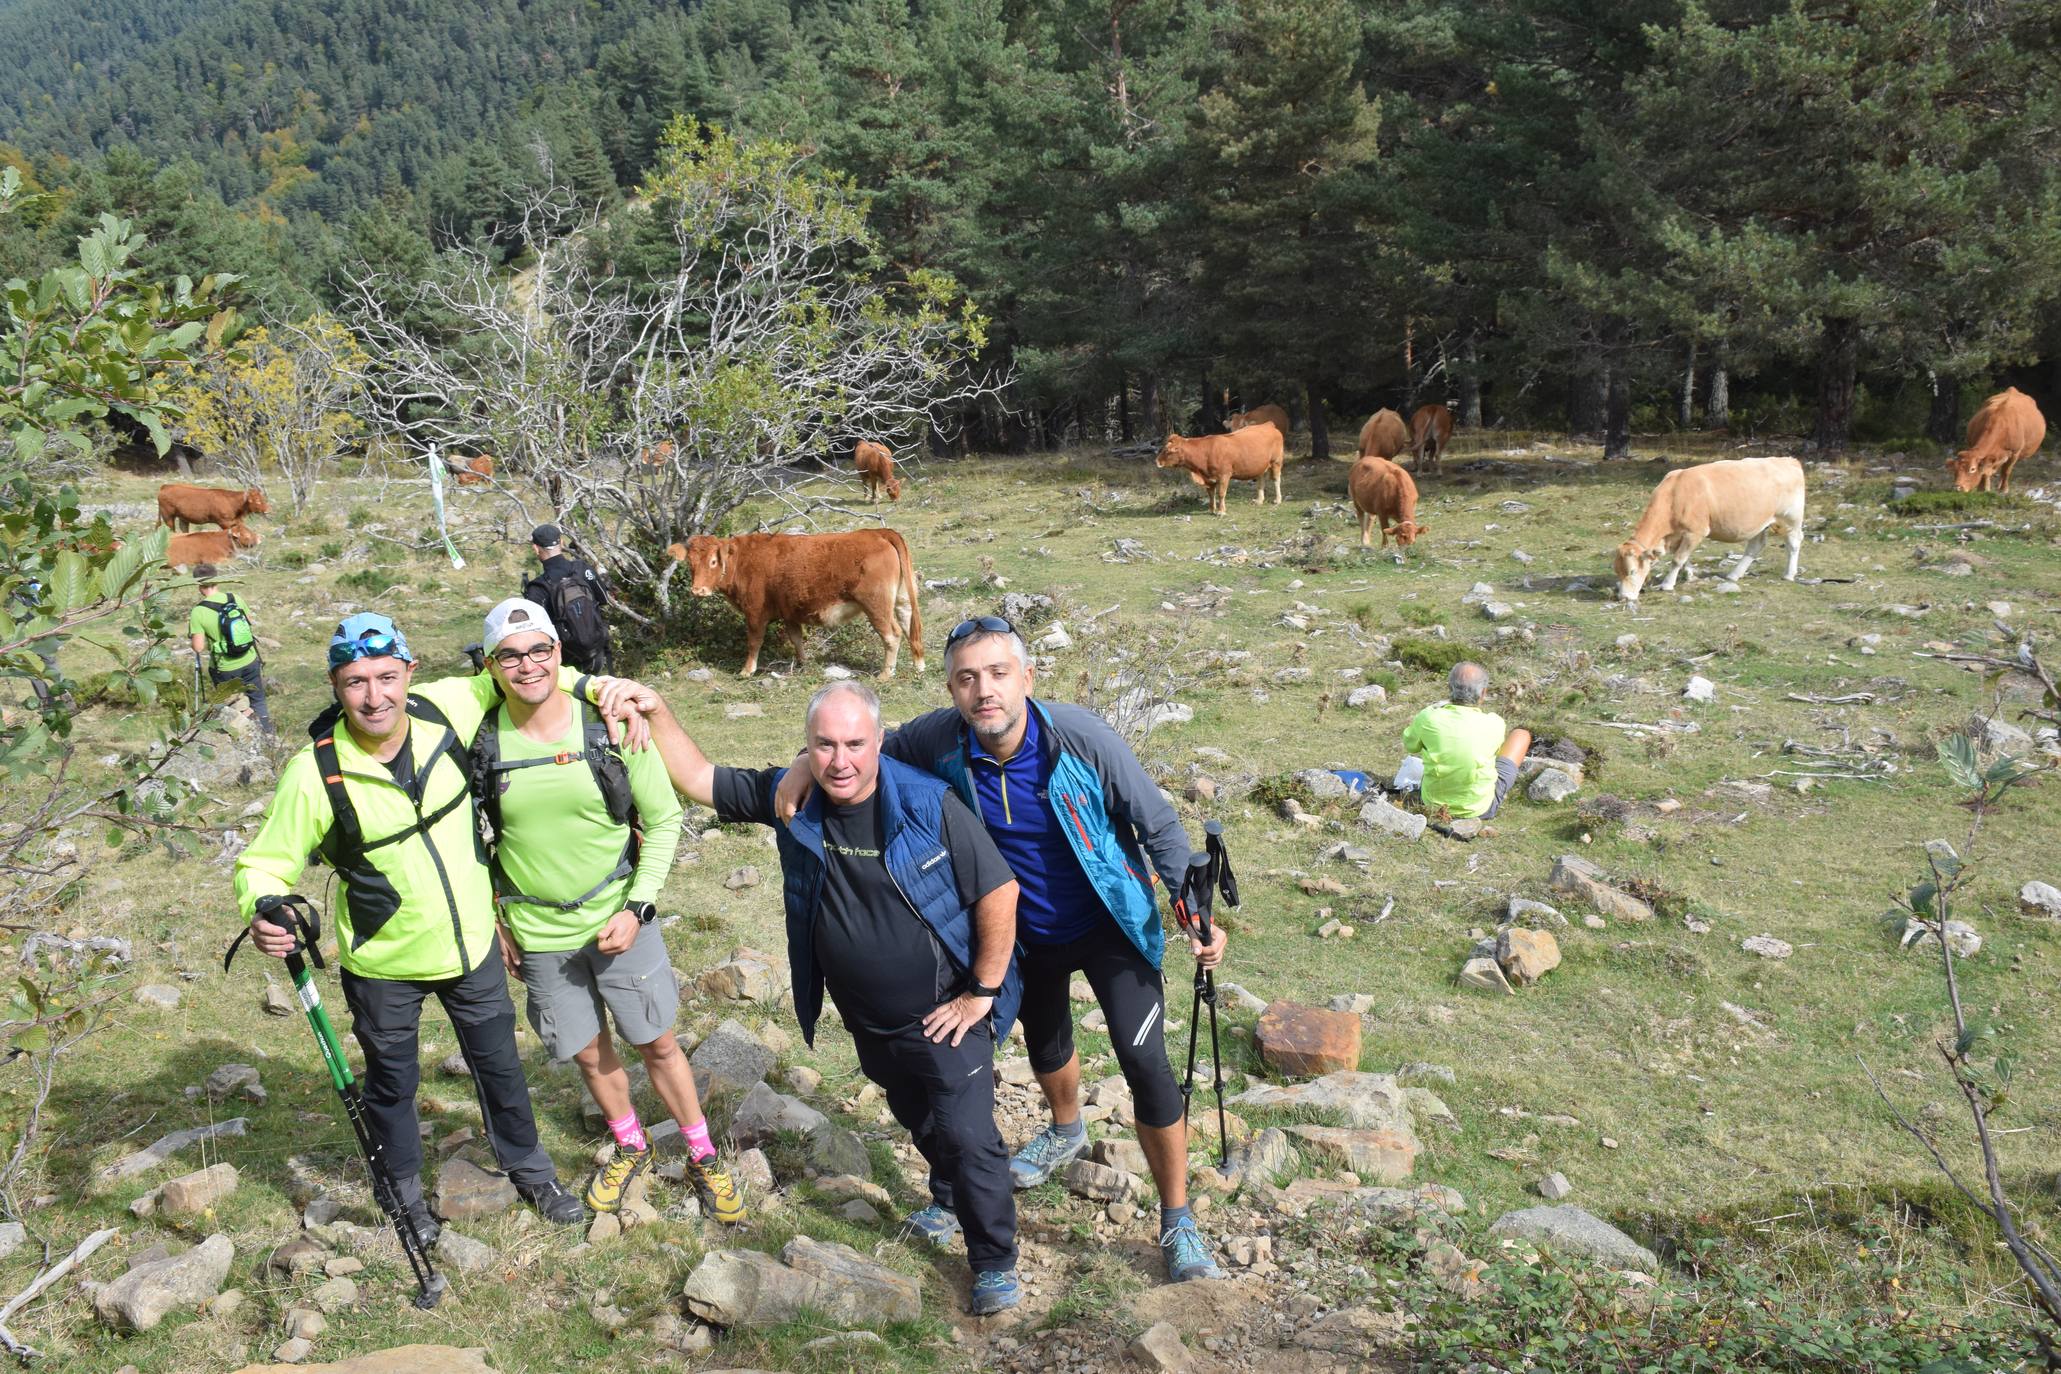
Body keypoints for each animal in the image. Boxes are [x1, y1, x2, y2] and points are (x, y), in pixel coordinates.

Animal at [671, 531, 923, 679]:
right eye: (690, 563)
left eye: (714, 561)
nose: (697, 590)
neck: (743, 560)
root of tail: (877, 532)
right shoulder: (789, 612)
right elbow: (796, 638)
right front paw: (803, 663)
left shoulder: (754, 612)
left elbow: (754, 642)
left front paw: (746, 670)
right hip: (901, 599)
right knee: (909, 626)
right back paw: (918, 666)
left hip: (876, 605)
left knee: (892, 635)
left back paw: (885, 674)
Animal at [1607, 457, 1805, 601]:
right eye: (1617, 571)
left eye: (1632, 571)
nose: (1623, 597)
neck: (1674, 495)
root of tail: (1788, 460)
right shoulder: (1680, 535)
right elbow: (1683, 558)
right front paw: (1689, 575)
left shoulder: (1696, 532)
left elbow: (1677, 559)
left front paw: (1668, 584)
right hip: (1759, 522)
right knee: (1756, 545)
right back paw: (1734, 575)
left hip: (1790, 518)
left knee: (1794, 543)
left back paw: (1789, 574)